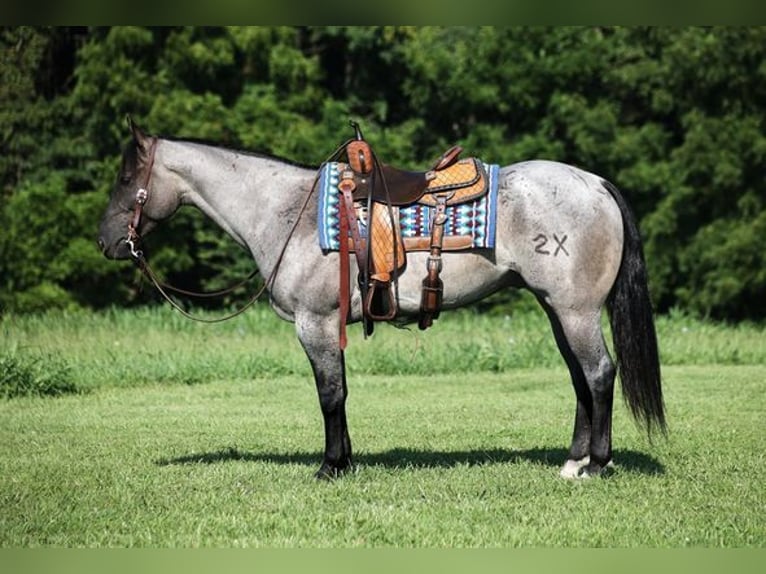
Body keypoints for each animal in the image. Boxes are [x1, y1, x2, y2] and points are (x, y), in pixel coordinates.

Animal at [97, 121, 664, 482]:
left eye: (126, 179)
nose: (107, 242)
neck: (286, 212)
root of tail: (595, 183)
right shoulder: (328, 327)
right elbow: (341, 392)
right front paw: (346, 461)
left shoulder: (314, 323)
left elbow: (329, 395)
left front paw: (329, 467)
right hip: (557, 310)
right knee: (580, 380)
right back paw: (573, 462)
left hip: (575, 311)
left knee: (599, 375)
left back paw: (598, 464)